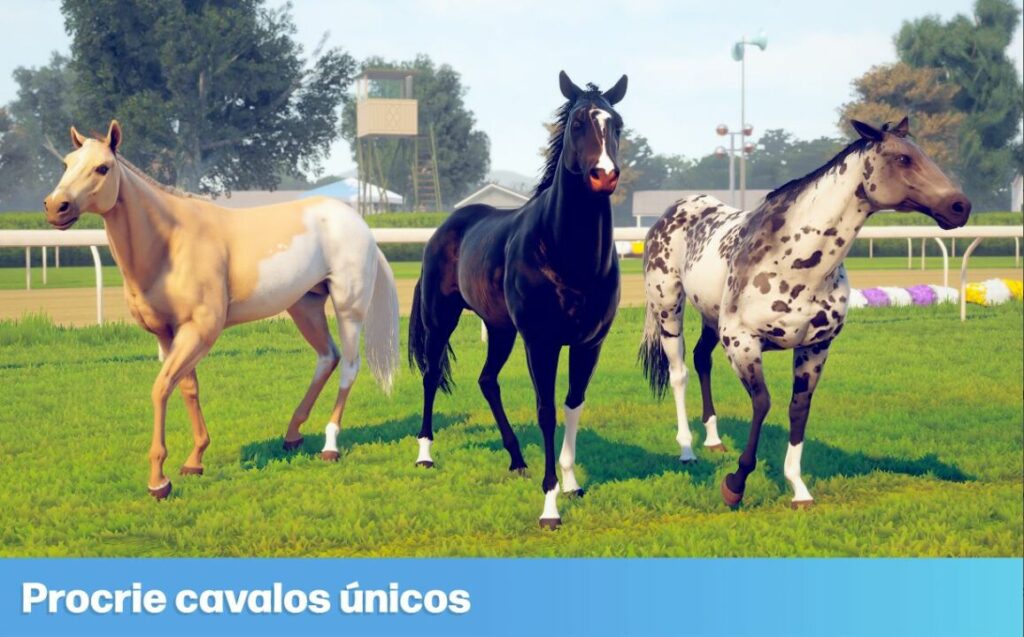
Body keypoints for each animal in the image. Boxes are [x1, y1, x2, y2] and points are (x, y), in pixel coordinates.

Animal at [43, 120, 400, 500]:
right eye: (67, 163)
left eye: (103, 168)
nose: (55, 207)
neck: (171, 244)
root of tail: (361, 225)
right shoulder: (169, 334)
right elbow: (187, 387)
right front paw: (194, 461)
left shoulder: (200, 330)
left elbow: (161, 387)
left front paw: (159, 481)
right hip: (305, 307)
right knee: (327, 357)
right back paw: (292, 435)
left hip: (349, 308)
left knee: (349, 367)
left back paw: (330, 446)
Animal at [409, 71, 628, 528]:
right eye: (577, 122)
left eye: (616, 124)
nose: (604, 176)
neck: (563, 251)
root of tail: (445, 227)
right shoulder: (540, 343)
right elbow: (546, 410)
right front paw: (550, 506)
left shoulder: (588, 344)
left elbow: (573, 405)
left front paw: (571, 483)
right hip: (442, 319)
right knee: (430, 375)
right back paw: (425, 455)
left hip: (500, 329)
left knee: (487, 381)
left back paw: (516, 459)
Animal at [639, 117, 970, 509]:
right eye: (903, 158)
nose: (960, 206)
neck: (795, 261)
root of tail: (674, 210)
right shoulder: (742, 342)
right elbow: (762, 403)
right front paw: (735, 484)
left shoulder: (815, 347)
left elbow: (798, 409)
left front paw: (798, 488)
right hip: (669, 310)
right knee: (679, 372)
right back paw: (688, 449)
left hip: (709, 316)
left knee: (702, 358)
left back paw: (713, 440)